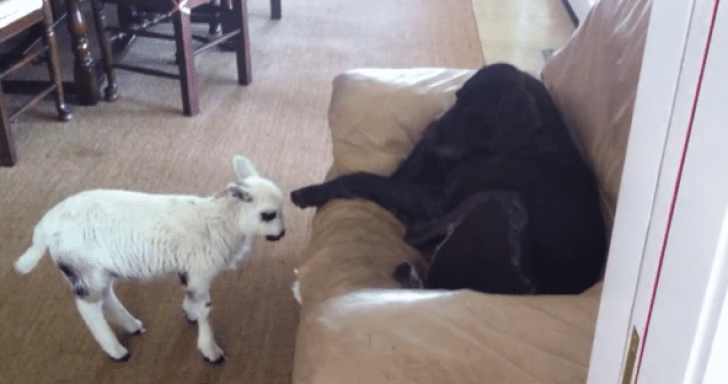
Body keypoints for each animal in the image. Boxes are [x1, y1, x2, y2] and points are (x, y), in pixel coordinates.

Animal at [14, 154, 286, 362]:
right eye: (268, 215)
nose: (282, 234)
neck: (224, 221)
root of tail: (45, 227)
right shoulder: (200, 270)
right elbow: (206, 309)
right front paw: (210, 350)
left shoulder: (189, 271)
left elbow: (192, 298)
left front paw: (189, 313)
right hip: (85, 269)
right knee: (89, 308)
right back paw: (117, 351)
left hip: (99, 268)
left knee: (106, 295)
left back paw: (131, 325)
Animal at [290, 64, 604, 296]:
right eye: (456, 99)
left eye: (468, 108)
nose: (428, 130)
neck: (532, 142)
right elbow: (402, 172)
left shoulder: (435, 201)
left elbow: (365, 179)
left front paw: (311, 192)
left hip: (504, 200)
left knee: (415, 248)